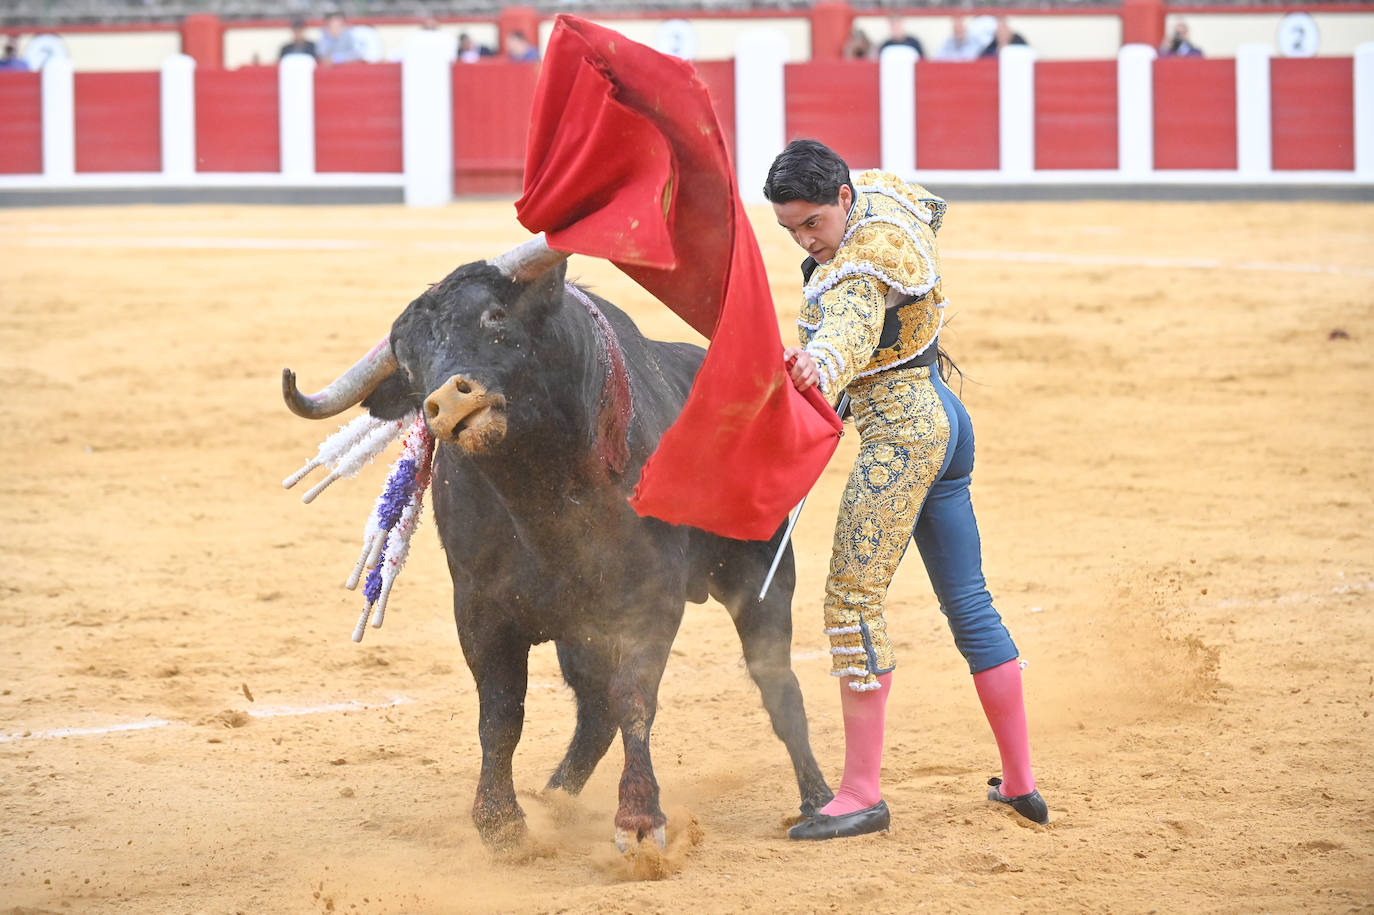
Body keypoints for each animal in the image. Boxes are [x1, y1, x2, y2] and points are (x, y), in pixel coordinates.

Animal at [284, 241, 829, 846]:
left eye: (495, 316)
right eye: (407, 364)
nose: (448, 402)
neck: (544, 494)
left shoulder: (648, 600)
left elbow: (635, 696)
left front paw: (640, 822)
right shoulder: (480, 610)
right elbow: (501, 713)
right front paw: (500, 822)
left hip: (763, 578)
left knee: (776, 683)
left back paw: (818, 800)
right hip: (582, 632)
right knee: (594, 712)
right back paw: (555, 800)